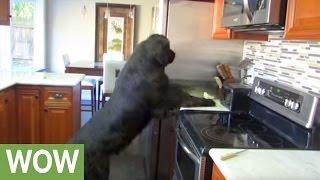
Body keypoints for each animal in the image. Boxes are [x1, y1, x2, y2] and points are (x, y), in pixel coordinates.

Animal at [71, 34, 214, 179]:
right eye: (167, 46)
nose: (174, 53)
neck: (147, 63)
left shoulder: (159, 109)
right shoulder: (166, 99)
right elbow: (187, 98)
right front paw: (208, 101)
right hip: (98, 171)